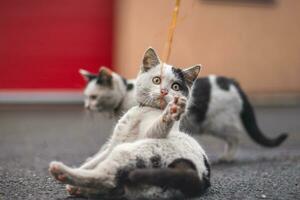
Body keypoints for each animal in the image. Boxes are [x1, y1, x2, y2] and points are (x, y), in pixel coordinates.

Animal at [81, 47, 288, 161]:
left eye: (93, 97)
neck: (126, 92)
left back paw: (227, 157)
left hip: (219, 123)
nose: (87, 107)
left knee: (236, 136)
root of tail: (232, 82)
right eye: (87, 97)